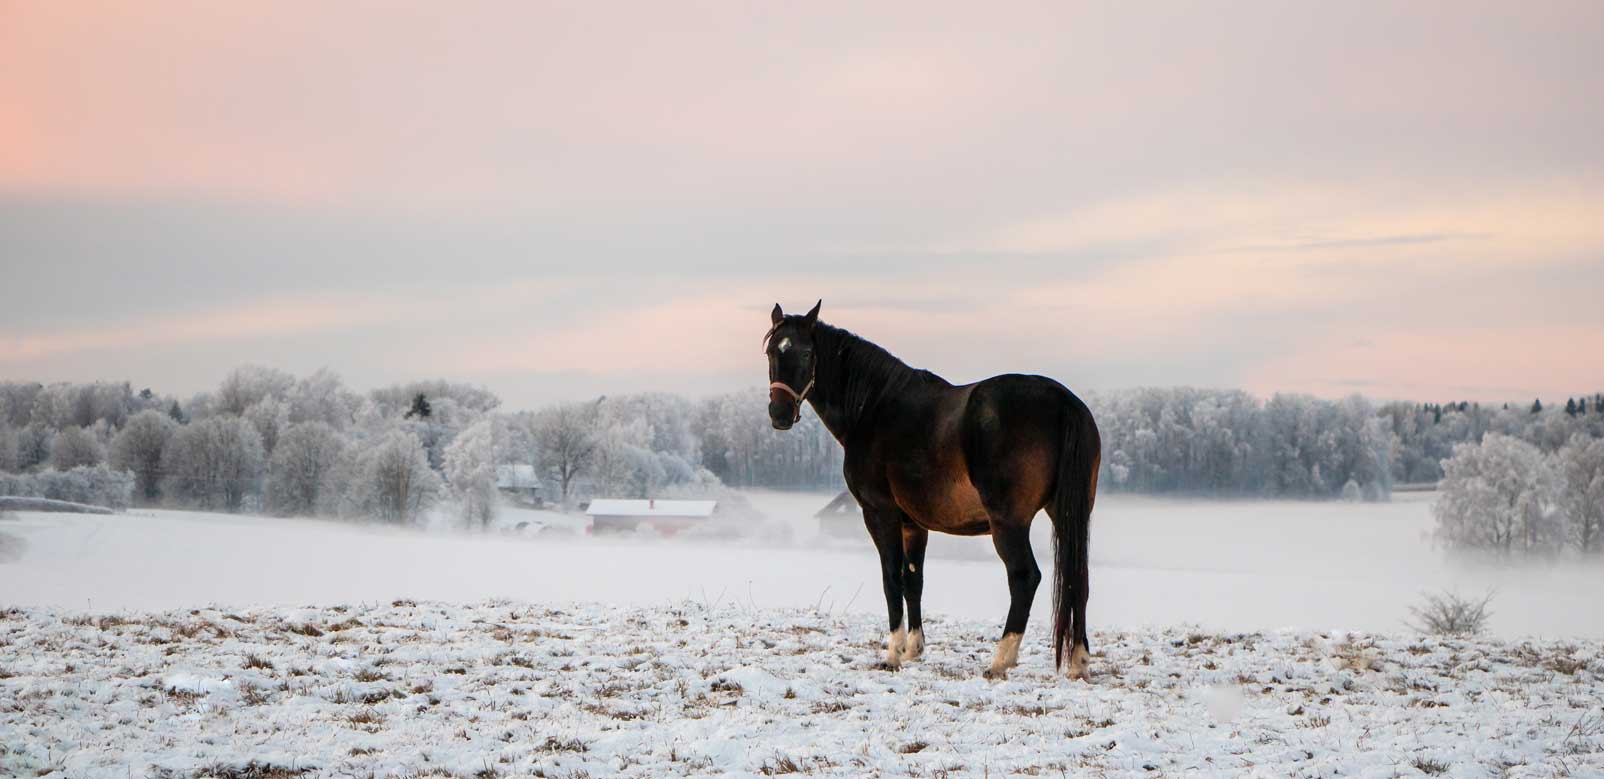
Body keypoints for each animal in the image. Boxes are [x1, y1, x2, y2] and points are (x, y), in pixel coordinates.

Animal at [764, 300, 1102, 681]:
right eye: (771, 351)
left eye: (807, 352)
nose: (779, 413)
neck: (875, 408)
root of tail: (1064, 402)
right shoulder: (914, 524)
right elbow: (914, 581)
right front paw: (914, 648)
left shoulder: (879, 514)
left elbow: (891, 579)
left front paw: (892, 654)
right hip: (1067, 514)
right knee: (1078, 580)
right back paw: (1078, 662)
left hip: (1009, 523)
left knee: (1025, 577)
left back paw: (1000, 660)